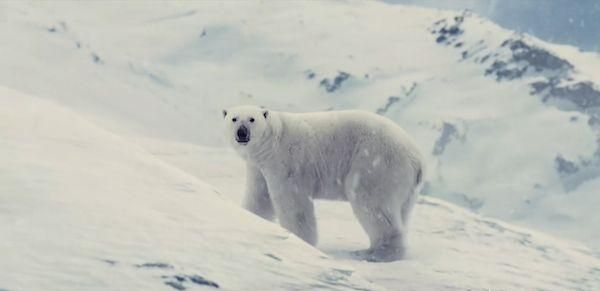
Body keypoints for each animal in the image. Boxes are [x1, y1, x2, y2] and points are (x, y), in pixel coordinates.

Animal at [223, 105, 424, 262]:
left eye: (252, 119)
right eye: (234, 118)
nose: (242, 133)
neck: (274, 140)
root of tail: (418, 159)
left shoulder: (288, 163)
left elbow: (293, 203)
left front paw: (300, 240)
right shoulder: (258, 168)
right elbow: (259, 197)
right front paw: (249, 218)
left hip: (376, 164)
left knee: (372, 203)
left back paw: (376, 253)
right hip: (405, 187)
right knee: (401, 211)